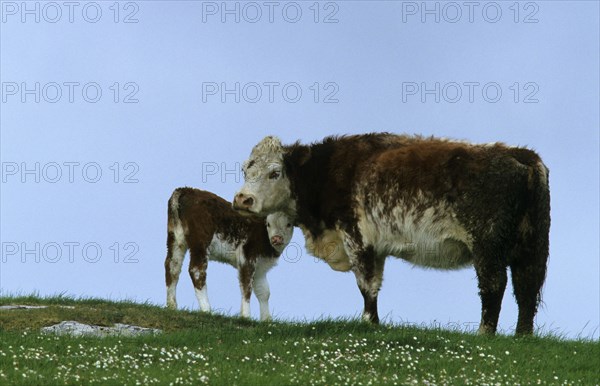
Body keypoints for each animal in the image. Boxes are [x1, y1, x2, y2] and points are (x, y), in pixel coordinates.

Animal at [165, 187, 294, 320]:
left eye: (289, 224)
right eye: (268, 224)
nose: (277, 239)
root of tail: (185, 190)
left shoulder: (261, 268)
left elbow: (264, 292)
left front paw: (266, 319)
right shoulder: (247, 258)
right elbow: (246, 287)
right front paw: (246, 317)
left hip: (175, 238)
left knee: (172, 266)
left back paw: (172, 306)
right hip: (200, 243)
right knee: (196, 270)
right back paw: (206, 309)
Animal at [232, 133, 552, 334]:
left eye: (275, 172)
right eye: (245, 170)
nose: (242, 199)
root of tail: (521, 155)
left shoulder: (356, 236)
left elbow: (366, 285)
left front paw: (369, 322)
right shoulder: (377, 247)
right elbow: (374, 284)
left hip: (487, 246)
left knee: (494, 287)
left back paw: (485, 333)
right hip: (532, 246)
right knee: (527, 288)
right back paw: (522, 336)